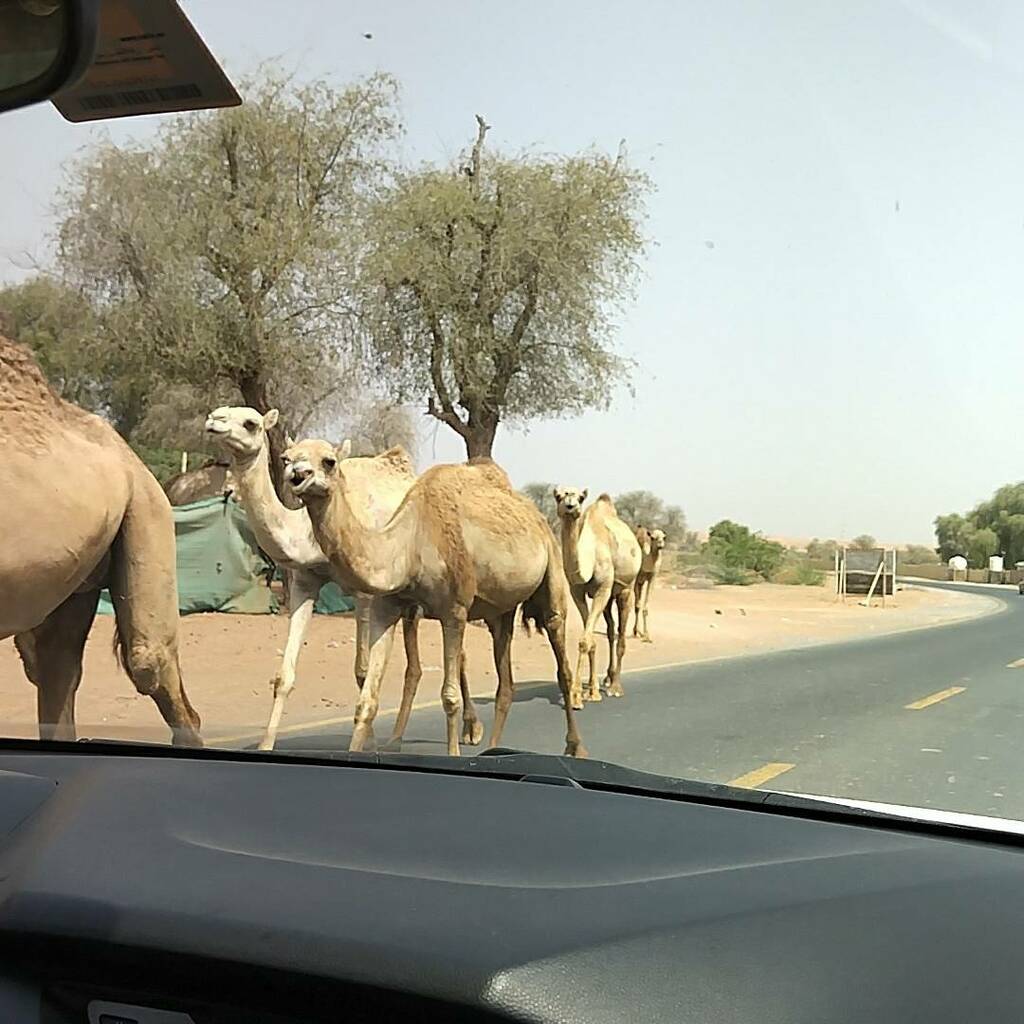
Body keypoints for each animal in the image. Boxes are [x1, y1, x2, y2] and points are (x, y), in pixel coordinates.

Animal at [205, 407, 485, 753]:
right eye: (285, 458)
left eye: (250, 423)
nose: (214, 419)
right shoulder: (304, 582)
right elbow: (284, 676)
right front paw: (265, 745)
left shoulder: (364, 593)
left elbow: (362, 672)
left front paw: (367, 744)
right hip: (411, 600)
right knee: (415, 666)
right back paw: (396, 740)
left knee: (459, 654)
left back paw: (472, 729)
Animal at [284, 440, 589, 761]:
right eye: (286, 459)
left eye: (329, 461)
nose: (298, 475)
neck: (411, 544)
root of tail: (538, 518)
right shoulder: (385, 608)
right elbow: (367, 700)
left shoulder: (454, 609)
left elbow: (450, 696)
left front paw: (453, 753)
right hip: (500, 610)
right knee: (506, 683)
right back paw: (494, 750)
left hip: (552, 576)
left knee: (561, 661)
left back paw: (576, 746)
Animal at [552, 487, 638, 704]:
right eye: (558, 496)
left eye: (580, 497)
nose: (571, 506)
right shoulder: (577, 592)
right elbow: (589, 640)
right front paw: (590, 691)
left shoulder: (602, 590)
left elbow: (585, 640)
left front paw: (576, 697)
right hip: (609, 599)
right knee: (610, 630)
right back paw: (607, 678)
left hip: (626, 588)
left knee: (621, 634)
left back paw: (615, 686)